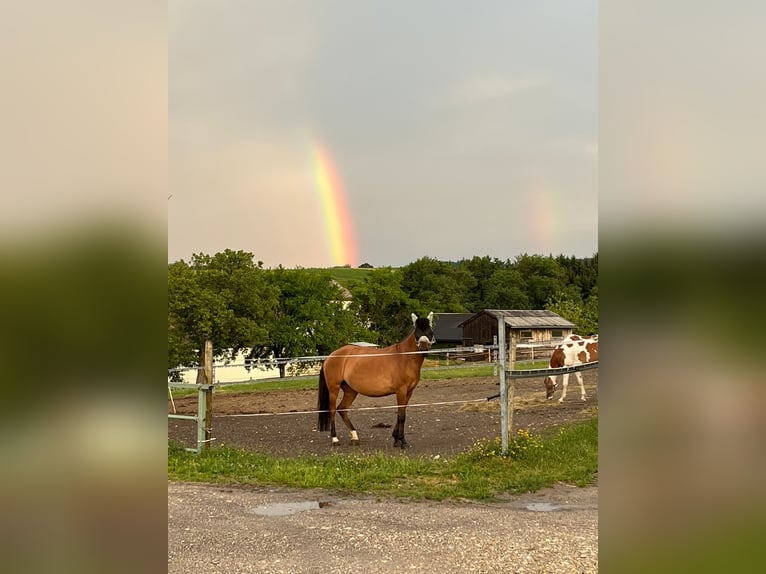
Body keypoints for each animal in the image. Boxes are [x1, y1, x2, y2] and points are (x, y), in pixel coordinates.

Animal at [318, 310, 436, 450]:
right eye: (417, 332)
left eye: (430, 331)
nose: (423, 348)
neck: (404, 358)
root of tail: (331, 356)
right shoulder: (401, 391)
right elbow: (402, 416)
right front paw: (402, 441)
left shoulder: (409, 392)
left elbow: (400, 414)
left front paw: (396, 439)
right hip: (333, 389)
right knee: (332, 410)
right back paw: (335, 439)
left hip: (350, 391)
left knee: (342, 409)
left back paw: (354, 437)